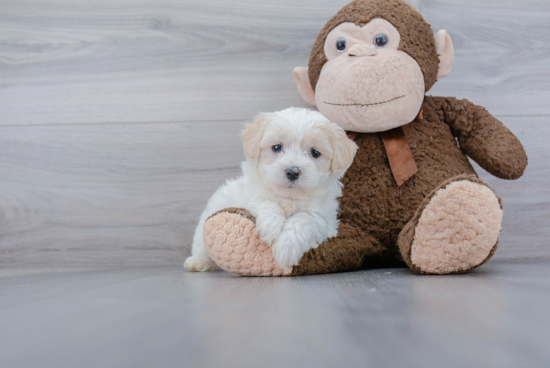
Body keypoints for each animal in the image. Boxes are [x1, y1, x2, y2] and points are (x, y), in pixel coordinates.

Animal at [184, 108, 358, 272]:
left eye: (315, 153)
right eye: (277, 147)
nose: (292, 172)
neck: (289, 197)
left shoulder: (325, 219)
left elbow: (304, 218)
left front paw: (287, 248)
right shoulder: (249, 195)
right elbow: (265, 201)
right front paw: (271, 226)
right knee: (201, 247)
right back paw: (198, 262)